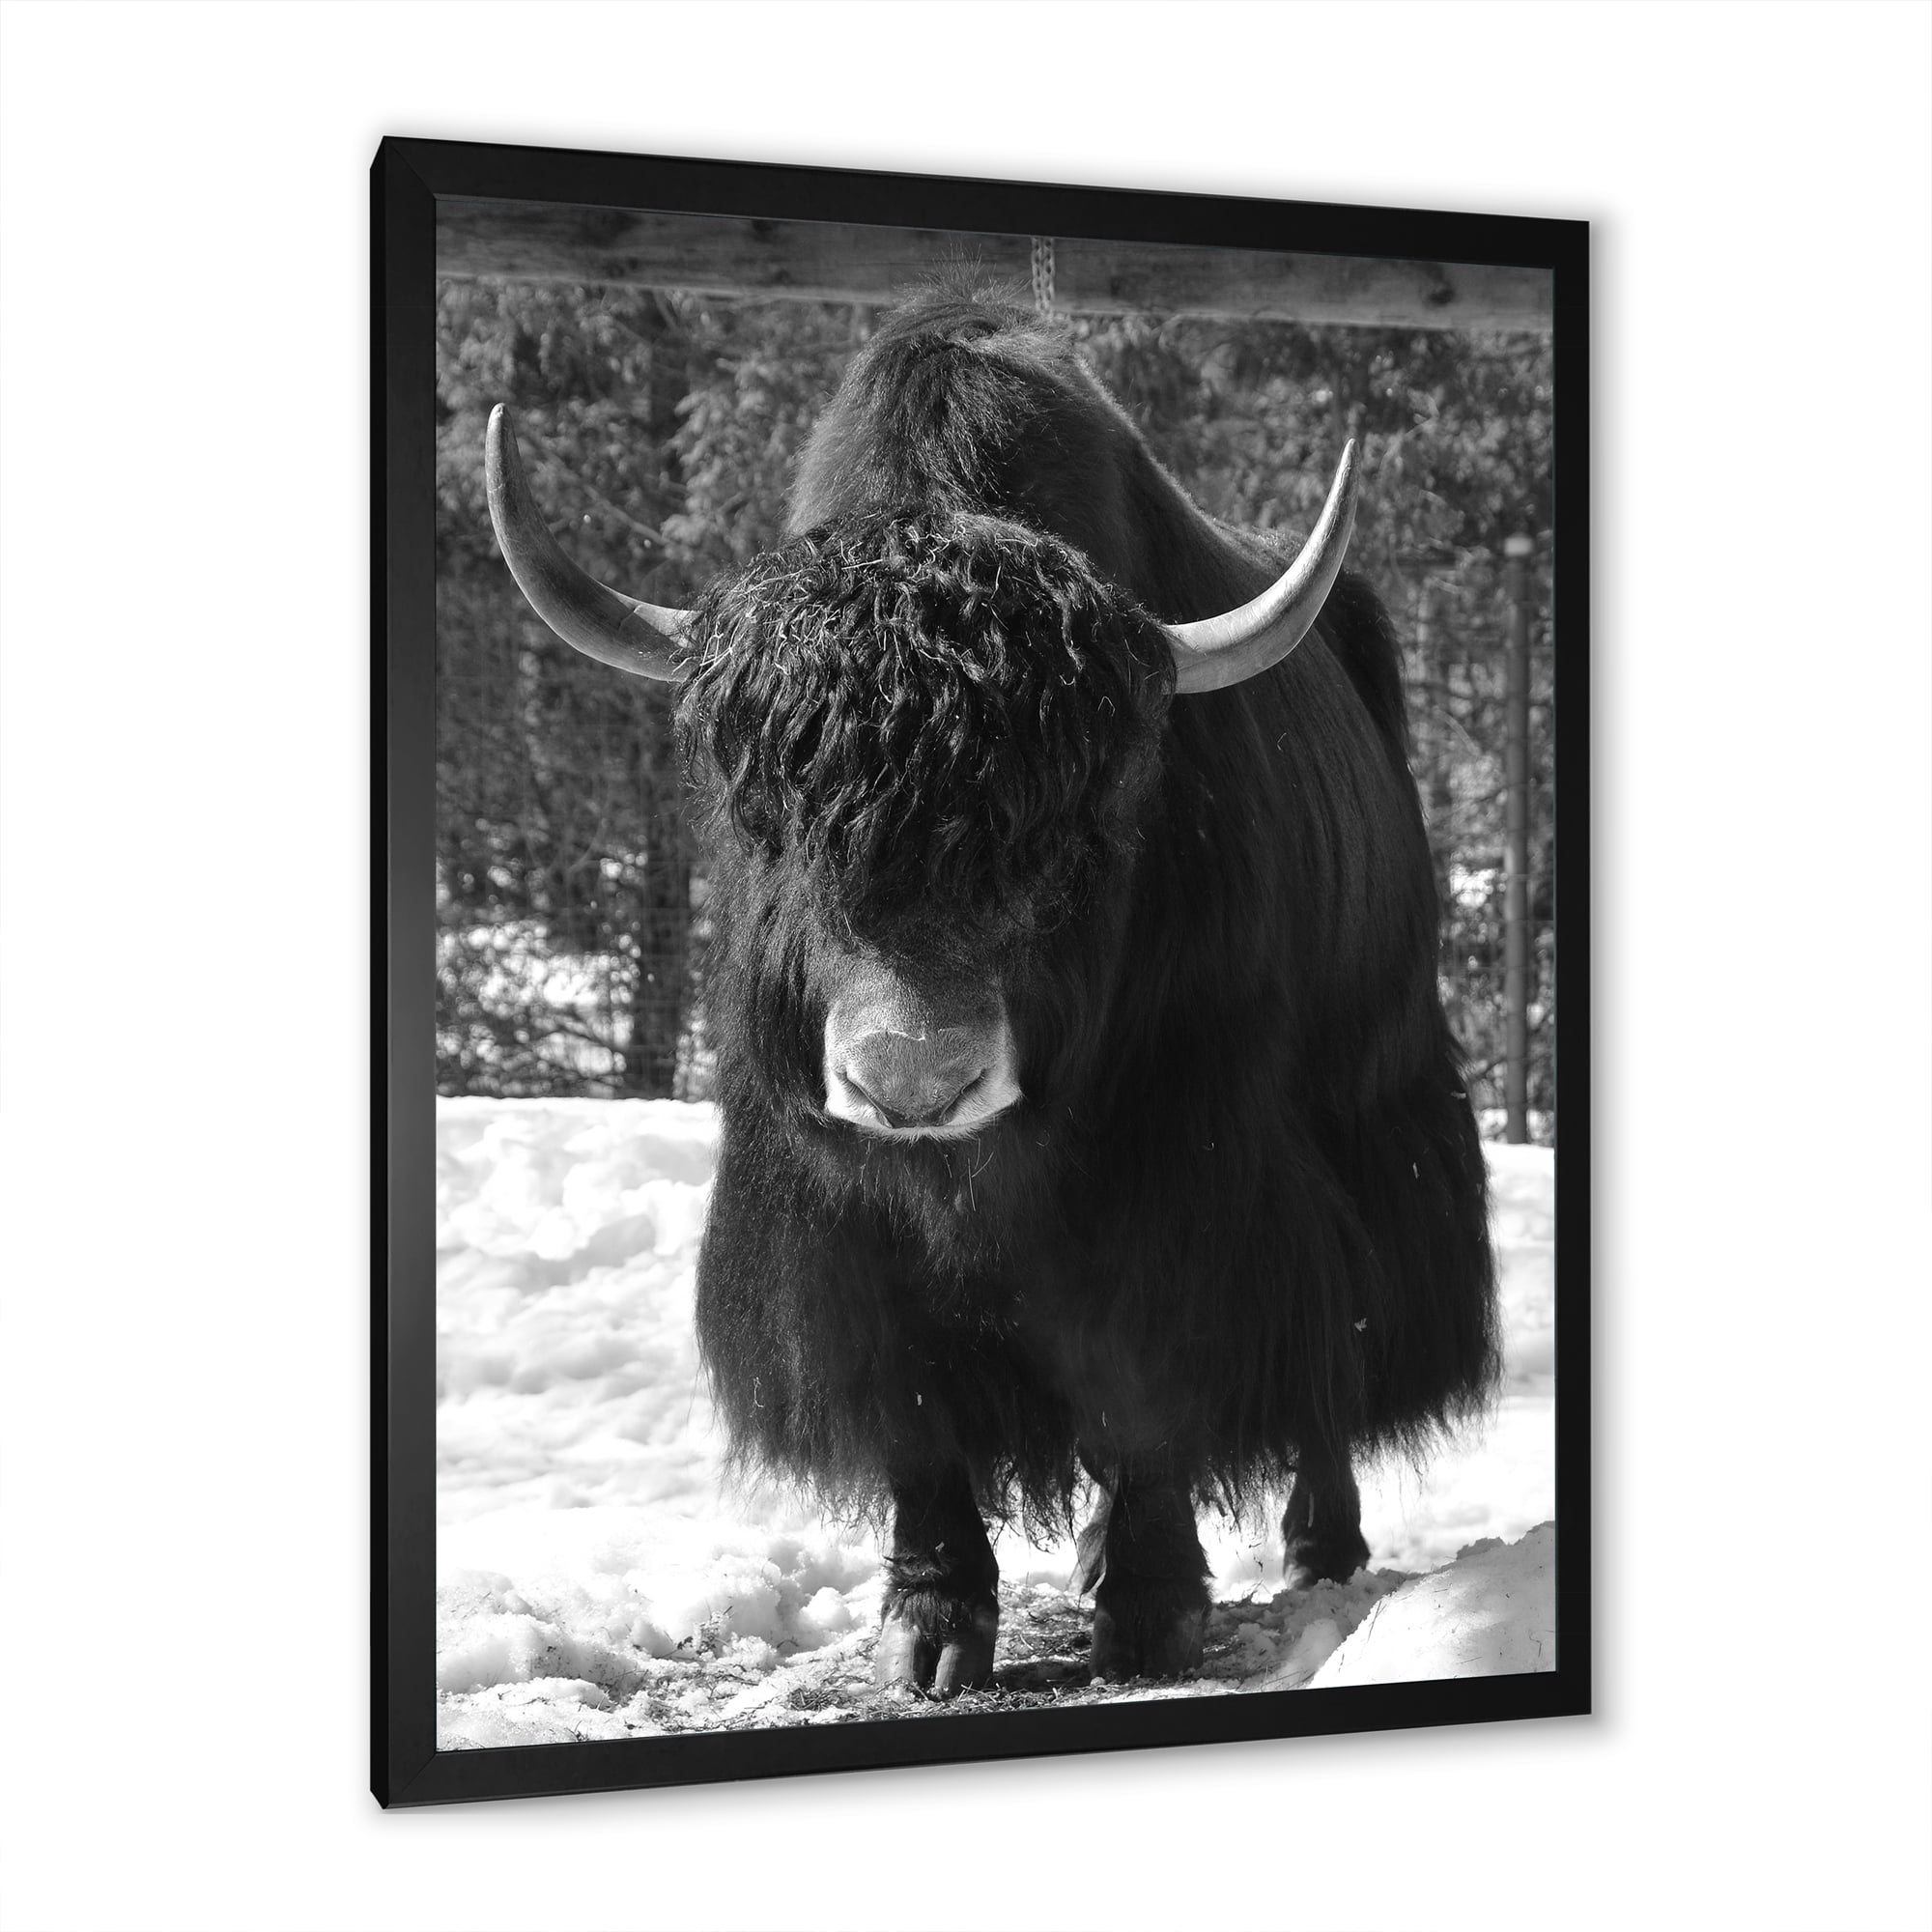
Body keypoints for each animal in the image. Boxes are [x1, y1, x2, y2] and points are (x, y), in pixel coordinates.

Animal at [483, 284, 1500, 1694]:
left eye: (1082, 823)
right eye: (768, 812)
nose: (913, 1079)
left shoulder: (1181, 1176)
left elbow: (1148, 1373)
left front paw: (1148, 1612)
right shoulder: (829, 1216)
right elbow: (910, 1399)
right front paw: (930, 1626)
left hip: (1373, 1113)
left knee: (1332, 1351)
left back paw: (1320, 1552)